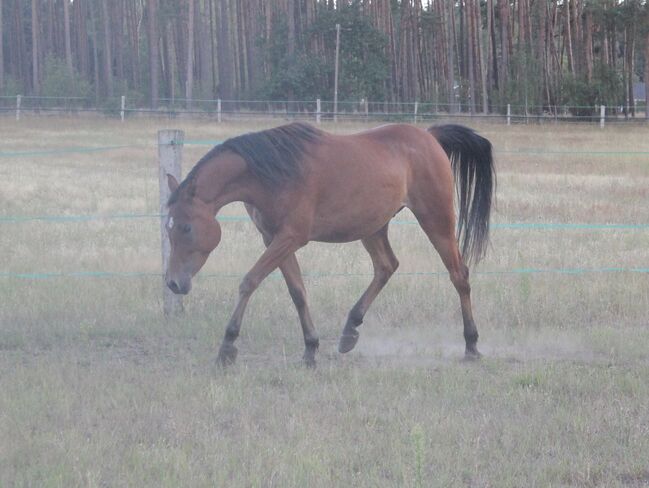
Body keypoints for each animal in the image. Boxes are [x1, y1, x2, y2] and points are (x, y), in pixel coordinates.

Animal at [165, 122, 494, 366]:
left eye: (186, 227)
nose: (172, 283)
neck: (273, 173)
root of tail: (429, 136)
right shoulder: (275, 239)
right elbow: (297, 292)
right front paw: (311, 348)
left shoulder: (289, 238)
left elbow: (249, 281)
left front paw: (227, 346)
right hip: (372, 227)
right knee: (386, 267)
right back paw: (349, 331)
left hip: (436, 221)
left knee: (459, 275)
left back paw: (471, 344)